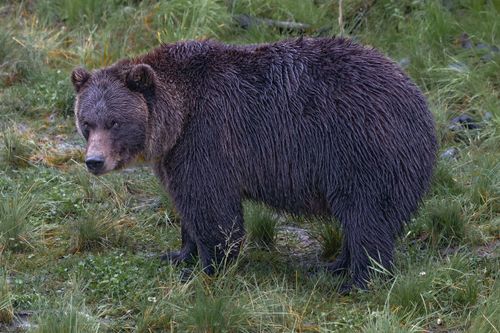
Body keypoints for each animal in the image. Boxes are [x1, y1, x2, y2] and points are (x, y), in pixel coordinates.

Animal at [71, 36, 438, 290]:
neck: (177, 119)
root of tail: (420, 102)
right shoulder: (174, 155)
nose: (94, 161)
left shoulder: (208, 137)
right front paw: (178, 254)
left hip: (362, 150)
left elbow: (212, 207)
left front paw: (209, 266)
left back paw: (358, 280)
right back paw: (333, 265)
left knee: (366, 215)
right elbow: (185, 202)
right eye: (87, 121)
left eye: (115, 121)